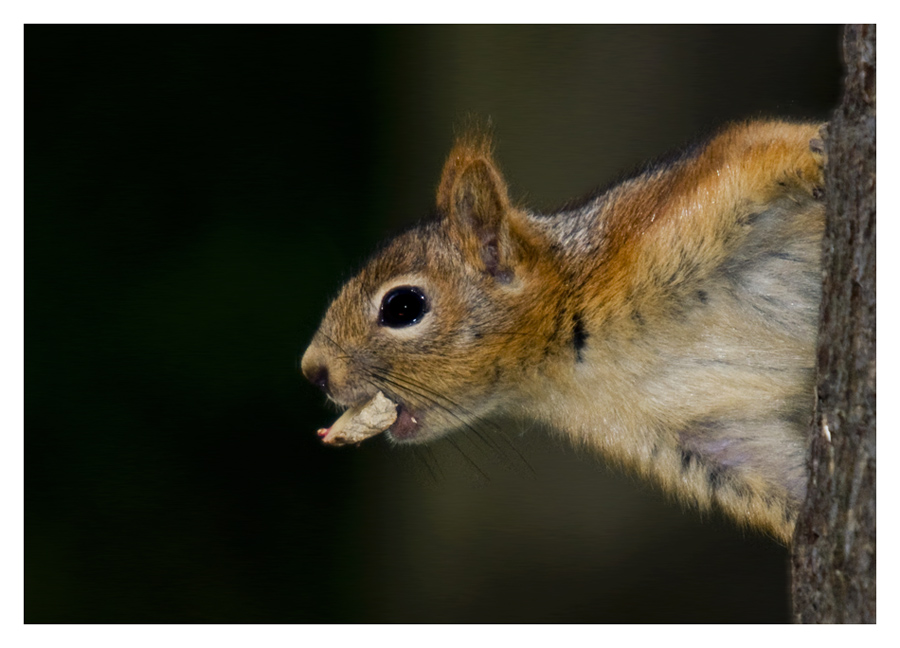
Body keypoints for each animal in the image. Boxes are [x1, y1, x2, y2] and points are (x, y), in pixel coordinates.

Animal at [300, 120, 824, 540]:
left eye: (403, 306)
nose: (313, 371)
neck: (575, 363)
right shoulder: (704, 439)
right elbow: (776, 476)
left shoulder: (674, 211)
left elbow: (765, 145)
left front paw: (819, 152)